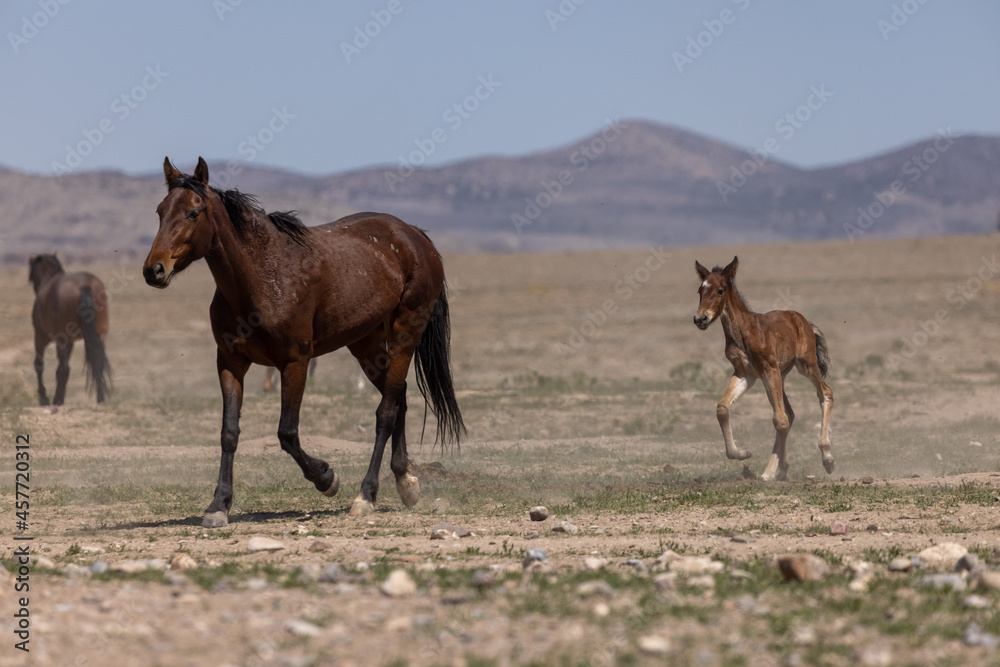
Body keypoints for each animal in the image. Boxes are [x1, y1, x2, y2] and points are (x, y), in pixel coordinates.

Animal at [29, 254, 112, 406]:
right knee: (98, 362)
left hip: (60, 339)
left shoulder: (40, 336)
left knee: (63, 368)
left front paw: (44, 399)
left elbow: (39, 364)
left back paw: (57, 399)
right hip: (99, 335)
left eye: (31, 277)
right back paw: (100, 397)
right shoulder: (71, 342)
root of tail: (84, 284)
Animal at [143, 157, 464, 527]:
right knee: (398, 398)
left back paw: (366, 495)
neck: (263, 276)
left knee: (385, 411)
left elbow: (287, 432)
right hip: (366, 345)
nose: (154, 270)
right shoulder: (230, 362)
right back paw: (405, 481)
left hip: (404, 334)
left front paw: (327, 478)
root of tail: (414, 234)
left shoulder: (294, 362)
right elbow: (229, 432)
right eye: (160, 211)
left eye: (193, 213)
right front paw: (218, 505)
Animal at [693, 257, 834, 481]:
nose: (700, 319)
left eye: (720, 290)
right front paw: (743, 453)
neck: (744, 332)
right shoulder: (745, 374)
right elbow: (723, 407)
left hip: (805, 365)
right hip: (779, 377)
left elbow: (780, 420)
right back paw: (775, 471)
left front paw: (775, 469)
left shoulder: (769, 369)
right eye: (700, 290)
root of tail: (804, 322)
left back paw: (827, 459)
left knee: (825, 393)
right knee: (789, 413)